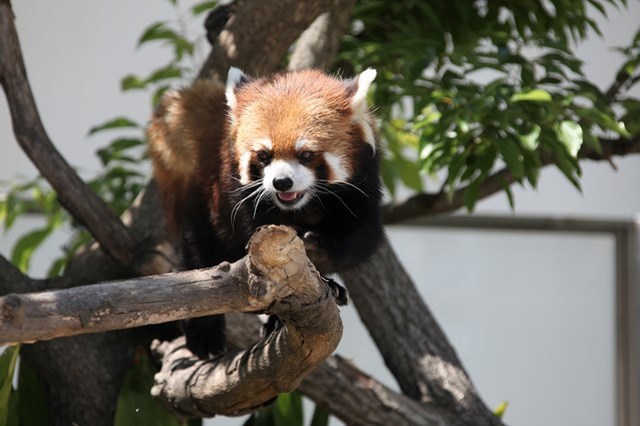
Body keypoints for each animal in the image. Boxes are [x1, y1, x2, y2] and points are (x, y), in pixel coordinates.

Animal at [148, 69, 382, 356]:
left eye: (306, 154)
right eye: (263, 155)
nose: (282, 182)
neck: (301, 206)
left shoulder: (362, 187)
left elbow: (360, 238)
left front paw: (318, 251)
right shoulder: (239, 196)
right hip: (205, 204)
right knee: (198, 253)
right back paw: (205, 335)